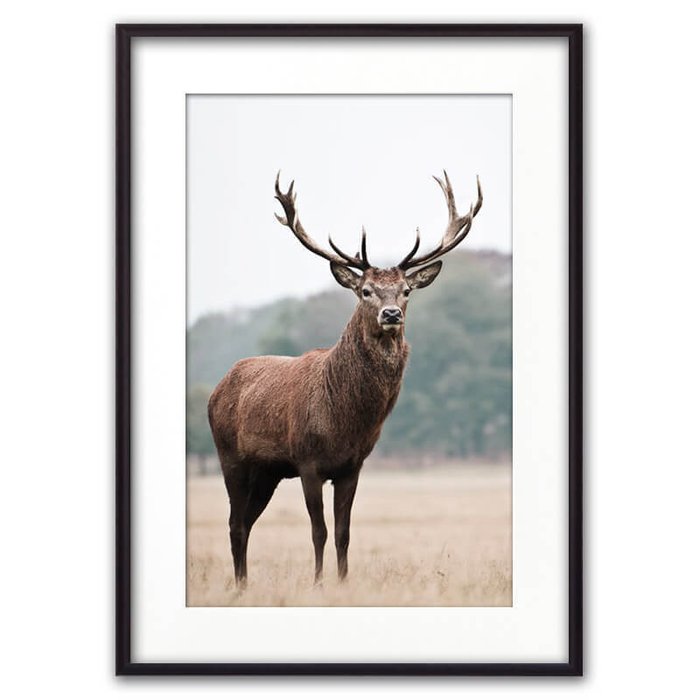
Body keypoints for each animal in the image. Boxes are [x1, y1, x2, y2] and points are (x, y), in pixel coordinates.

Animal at [207, 170, 483, 587]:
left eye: (405, 291)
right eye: (365, 290)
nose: (390, 314)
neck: (345, 421)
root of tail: (218, 388)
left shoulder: (352, 466)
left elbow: (343, 532)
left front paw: (342, 582)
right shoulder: (307, 461)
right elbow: (318, 531)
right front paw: (319, 583)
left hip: (267, 472)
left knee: (246, 522)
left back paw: (243, 585)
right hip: (230, 457)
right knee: (235, 524)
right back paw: (240, 586)